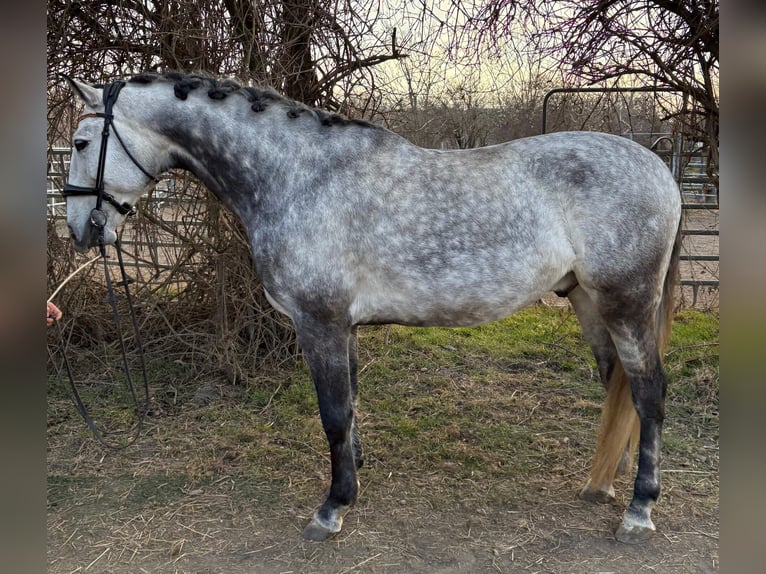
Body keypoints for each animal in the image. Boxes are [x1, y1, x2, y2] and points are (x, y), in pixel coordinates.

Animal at [60, 74, 684, 548]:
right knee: (617, 383)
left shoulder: (320, 324)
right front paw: (353, 479)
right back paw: (609, 478)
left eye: (82, 143)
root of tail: (661, 169)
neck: (298, 178)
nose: (81, 230)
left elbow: (334, 414)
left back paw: (639, 510)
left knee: (649, 392)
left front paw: (331, 508)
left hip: (626, 302)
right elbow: (351, 410)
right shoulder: (345, 328)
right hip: (586, 300)